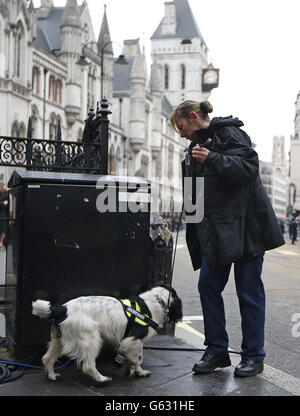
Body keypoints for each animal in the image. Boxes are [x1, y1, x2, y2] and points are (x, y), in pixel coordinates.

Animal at [32, 284, 183, 386]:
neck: (155, 301)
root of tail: (63, 309)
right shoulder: (133, 339)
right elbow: (138, 358)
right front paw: (139, 372)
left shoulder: (132, 342)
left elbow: (135, 358)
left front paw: (134, 371)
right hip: (91, 339)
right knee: (88, 365)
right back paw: (101, 379)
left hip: (58, 340)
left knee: (47, 358)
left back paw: (52, 375)